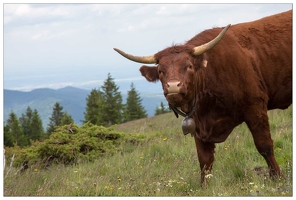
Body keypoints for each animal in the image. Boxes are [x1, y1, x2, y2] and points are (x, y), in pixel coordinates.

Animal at [113, 9, 292, 184]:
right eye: (160, 71)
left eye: (189, 66)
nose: (173, 86)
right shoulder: (198, 125)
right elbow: (204, 160)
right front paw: (204, 186)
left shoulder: (255, 105)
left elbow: (264, 145)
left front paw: (277, 177)